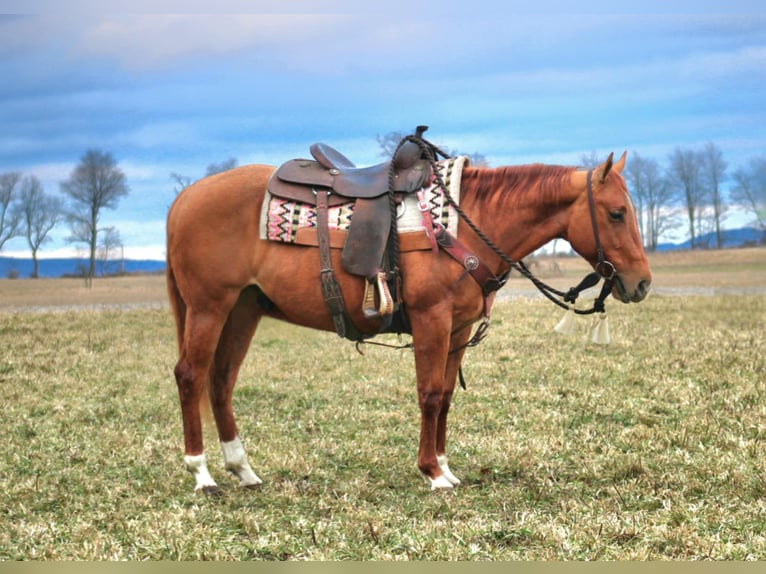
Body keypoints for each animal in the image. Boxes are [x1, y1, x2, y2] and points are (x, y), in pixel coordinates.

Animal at [168, 150, 656, 496]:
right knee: (191, 375)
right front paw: (431, 472)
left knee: (221, 381)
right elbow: (429, 394)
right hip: (210, 306)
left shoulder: (458, 329)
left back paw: (243, 469)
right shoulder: (432, 321)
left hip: (242, 309)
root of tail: (184, 199)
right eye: (616, 213)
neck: (463, 225)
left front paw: (445, 466)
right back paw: (201, 472)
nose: (642, 283)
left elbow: (446, 397)